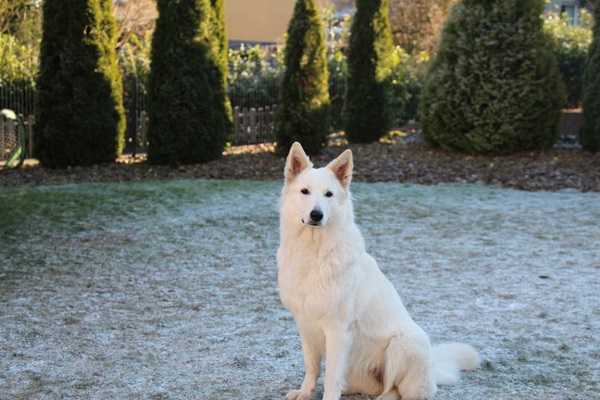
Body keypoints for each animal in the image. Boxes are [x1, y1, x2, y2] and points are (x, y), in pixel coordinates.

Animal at [276, 144, 478, 400]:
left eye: (329, 194)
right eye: (305, 191)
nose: (316, 215)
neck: (314, 253)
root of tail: (433, 369)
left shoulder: (338, 330)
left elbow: (331, 377)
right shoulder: (305, 325)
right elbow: (312, 366)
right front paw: (305, 392)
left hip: (403, 344)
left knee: (395, 390)